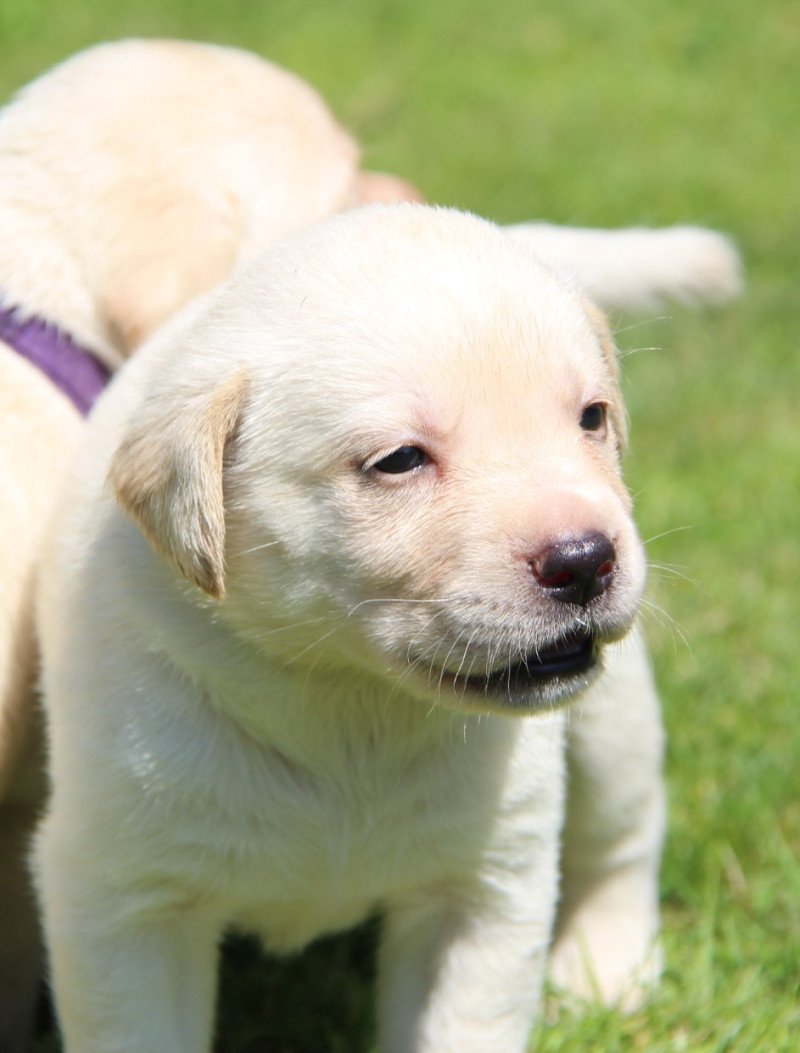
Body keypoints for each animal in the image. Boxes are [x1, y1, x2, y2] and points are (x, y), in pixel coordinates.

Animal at [36, 205, 673, 1053]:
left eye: (591, 418)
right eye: (399, 460)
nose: (584, 560)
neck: (350, 698)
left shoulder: (482, 889)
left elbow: (464, 1026)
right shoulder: (123, 899)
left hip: (611, 720)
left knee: (625, 835)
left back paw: (608, 964)